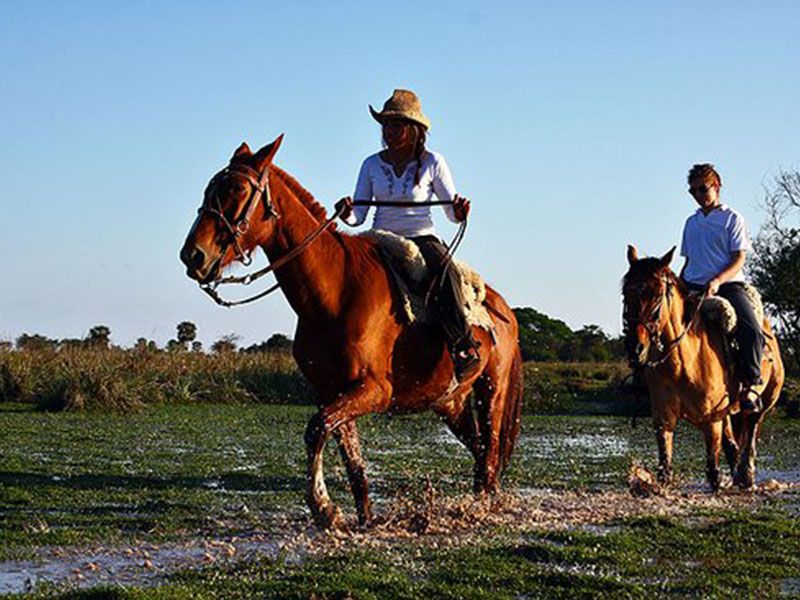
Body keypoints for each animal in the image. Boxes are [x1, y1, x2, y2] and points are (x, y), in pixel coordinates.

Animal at [178, 135, 520, 524]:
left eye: (237, 189)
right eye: (210, 188)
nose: (193, 255)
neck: (335, 292)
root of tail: (504, 308)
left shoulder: (374, 391)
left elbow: (315, 430)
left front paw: (323, 506)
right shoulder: (332, 392)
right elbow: (349, 457)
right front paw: (363, 517)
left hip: (492, 390)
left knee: (490, 451)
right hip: (450, 401)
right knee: (479, 450)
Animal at [620, 246, 784, 490]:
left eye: (657, 294)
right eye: (626, 293)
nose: (636, 348)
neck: (682, 364)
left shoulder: (711, 421)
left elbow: (713, 474)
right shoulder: (664, 420)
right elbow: (665, 471)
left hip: (765, 400)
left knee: (752, 430)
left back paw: (746, 475)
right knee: (733, 445)